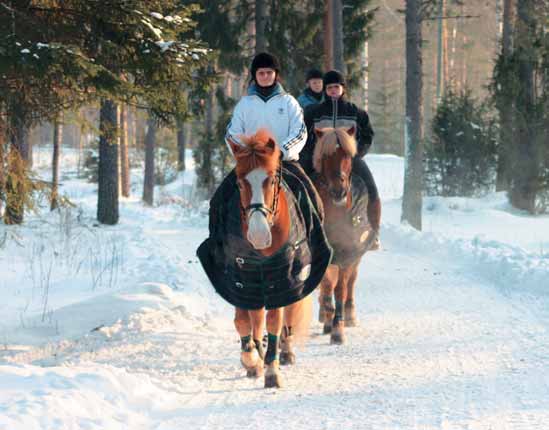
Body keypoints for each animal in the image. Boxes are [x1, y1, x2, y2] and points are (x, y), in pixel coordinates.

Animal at [228, 129, 312, 388]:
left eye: (272, 180)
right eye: (239, 182)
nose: (258, 235)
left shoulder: (281, 273)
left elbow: (275, 318)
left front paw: (271, 371)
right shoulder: (239, 273)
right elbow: (242, 320)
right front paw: (251, 361)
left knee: (287, 314)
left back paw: (285, 351)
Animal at [310, 127, 374, 346]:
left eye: (347, 154)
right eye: (325, 155)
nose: (339, 191)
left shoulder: (348, 254)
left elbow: (341, 288)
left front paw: (338, 329)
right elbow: (328, 284)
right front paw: (329, 320)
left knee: (351, 281)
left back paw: (349, 315)